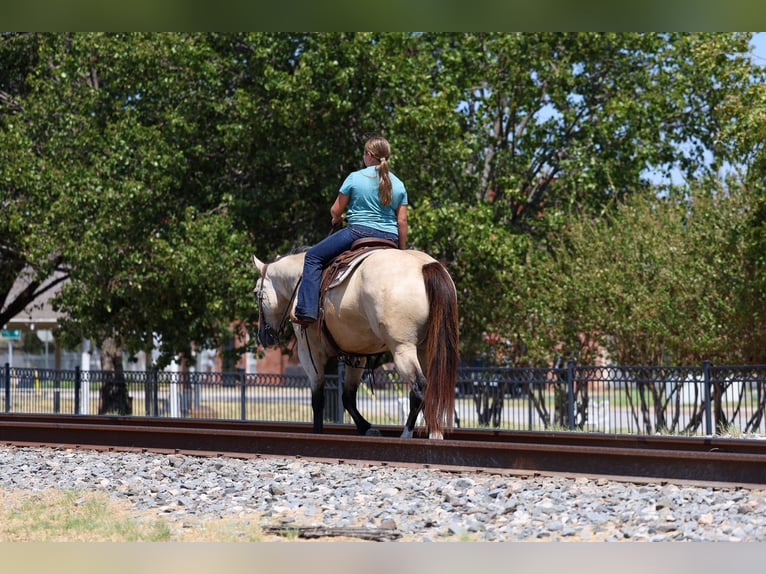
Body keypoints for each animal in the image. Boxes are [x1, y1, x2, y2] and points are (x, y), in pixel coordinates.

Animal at [252, 247, 459, 439]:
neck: (299, 281)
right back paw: (434, 432)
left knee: (419, 388)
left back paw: (410, 434)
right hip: (425, 350)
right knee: (431, 388)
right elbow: (348, 397)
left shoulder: (309, 352)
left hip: (402, 349)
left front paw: (318, 432)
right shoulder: (357, 354)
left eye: (257, 293)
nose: (263, 335)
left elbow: (318, 399)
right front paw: (366, 427)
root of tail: (423, 266)